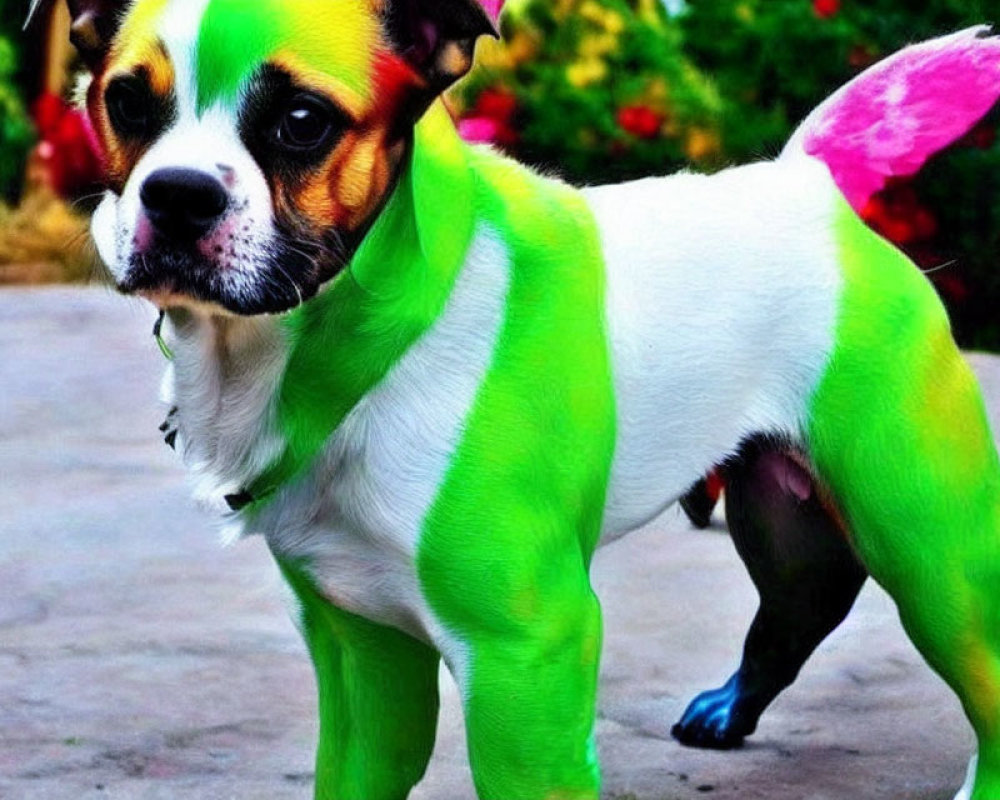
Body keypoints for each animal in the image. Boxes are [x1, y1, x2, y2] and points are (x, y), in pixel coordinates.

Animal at [31, 0, 1000, 796]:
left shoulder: (525, 655)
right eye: (125, 103)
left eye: (302, 124)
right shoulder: (359, 646)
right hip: (781, 516)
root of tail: (805, 187)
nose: (177, 192)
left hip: (929, 548)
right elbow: (354, 771)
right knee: (802, 602)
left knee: (973, 659)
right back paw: (728, 711)